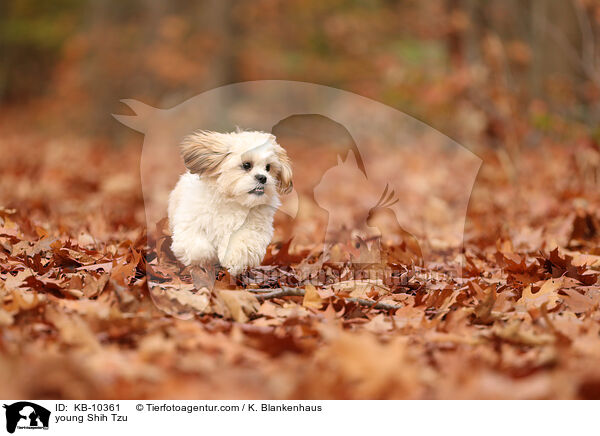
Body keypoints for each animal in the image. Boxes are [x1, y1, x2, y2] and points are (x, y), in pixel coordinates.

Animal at [168, 129, 292, 276]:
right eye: (246, 165)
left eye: (268, 167)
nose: (263, 178)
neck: (232, 201)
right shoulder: (191, 224)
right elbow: (198, 248)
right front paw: (207, 259)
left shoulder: (253, 229)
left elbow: (241, 245)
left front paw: (231, 261)